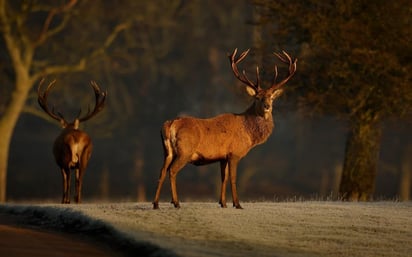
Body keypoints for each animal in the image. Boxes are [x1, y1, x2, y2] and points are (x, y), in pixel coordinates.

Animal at [153, 48, 298, 208]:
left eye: (271, 97)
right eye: (257, 97)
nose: (267, 106)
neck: (248, 133)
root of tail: (170, 125)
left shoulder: (223, 156)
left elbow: (224, 177)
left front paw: (223, 203)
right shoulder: (235, 152)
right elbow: (233, 178)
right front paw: (237, 204)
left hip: (167, 151)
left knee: (162, 171)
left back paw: (156, 204)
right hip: (185, 151)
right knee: (172, 171)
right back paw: (176, 202)